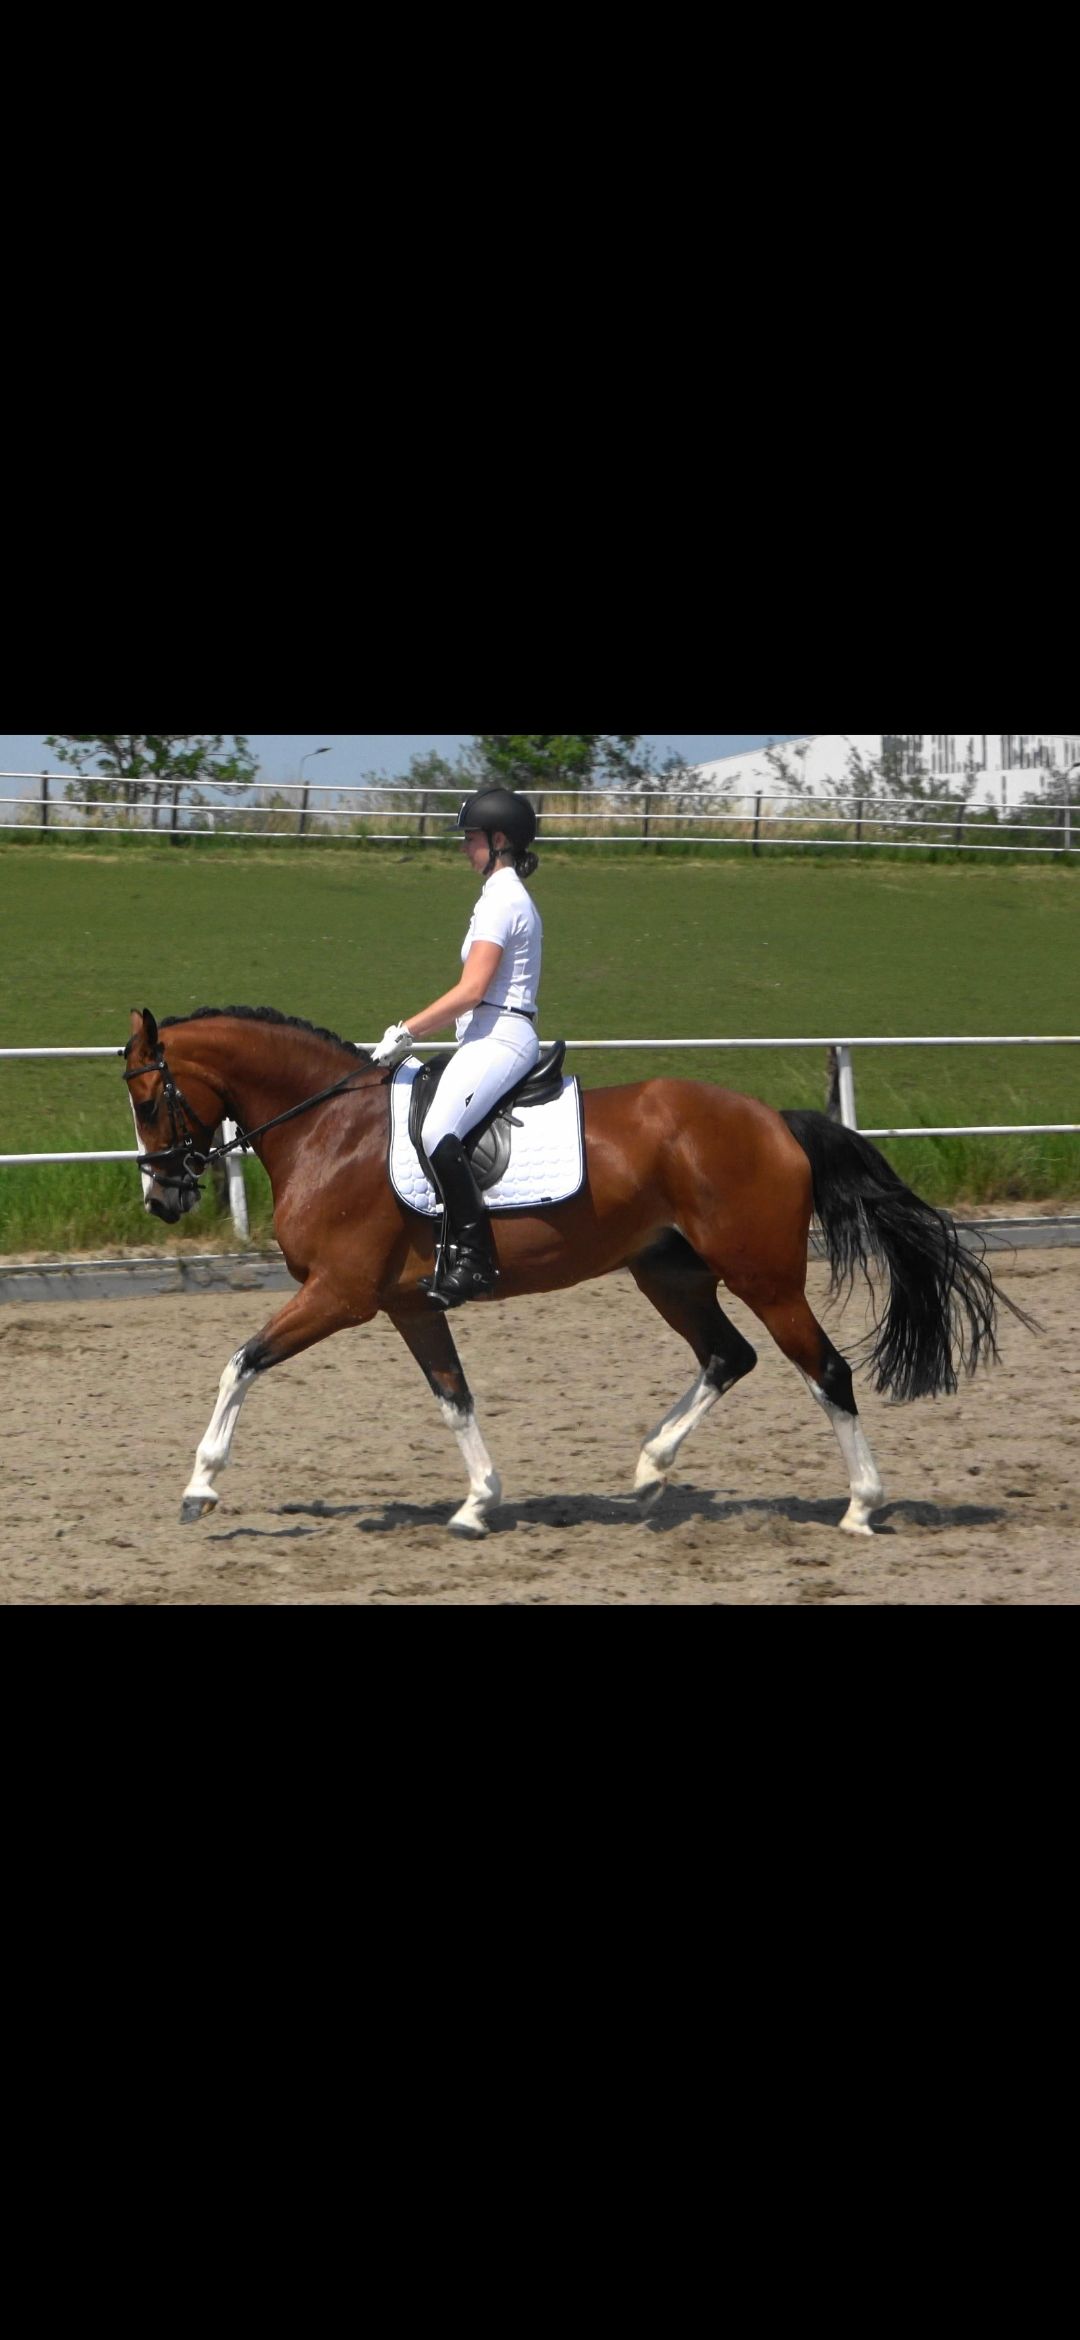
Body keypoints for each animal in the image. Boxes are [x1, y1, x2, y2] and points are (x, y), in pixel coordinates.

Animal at [122, 1004, 1028, 1542]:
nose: (163, 1197)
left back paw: (861, 1507)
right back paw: (650, 1472)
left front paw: (200, 1487)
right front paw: (478, 1503)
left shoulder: (339, 1296)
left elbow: (240, 1362)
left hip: (765, 1277)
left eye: (144, 1097)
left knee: (826, 1370)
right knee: (729, 1356)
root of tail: (772, 1121)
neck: (329, 1128)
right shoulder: (408, 1304)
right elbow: (454, 1397)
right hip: (670, 1276)